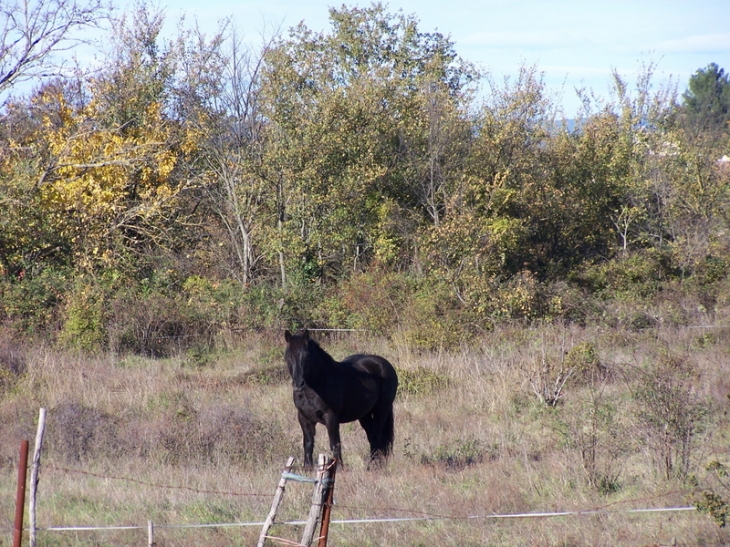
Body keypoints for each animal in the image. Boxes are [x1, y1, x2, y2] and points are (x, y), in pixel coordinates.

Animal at [284, 330, 398, 470]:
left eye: (307, 356)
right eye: (288, 356)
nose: (298, 384)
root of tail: (385, 364)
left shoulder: (331, 417)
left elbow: (334, 443)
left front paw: (337, 467)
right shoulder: (304, 418)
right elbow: (308, 444)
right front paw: (307, 468)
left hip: (382, 409)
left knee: (377, 434)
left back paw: (373, 464)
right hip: (364, 414)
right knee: (372, 435)